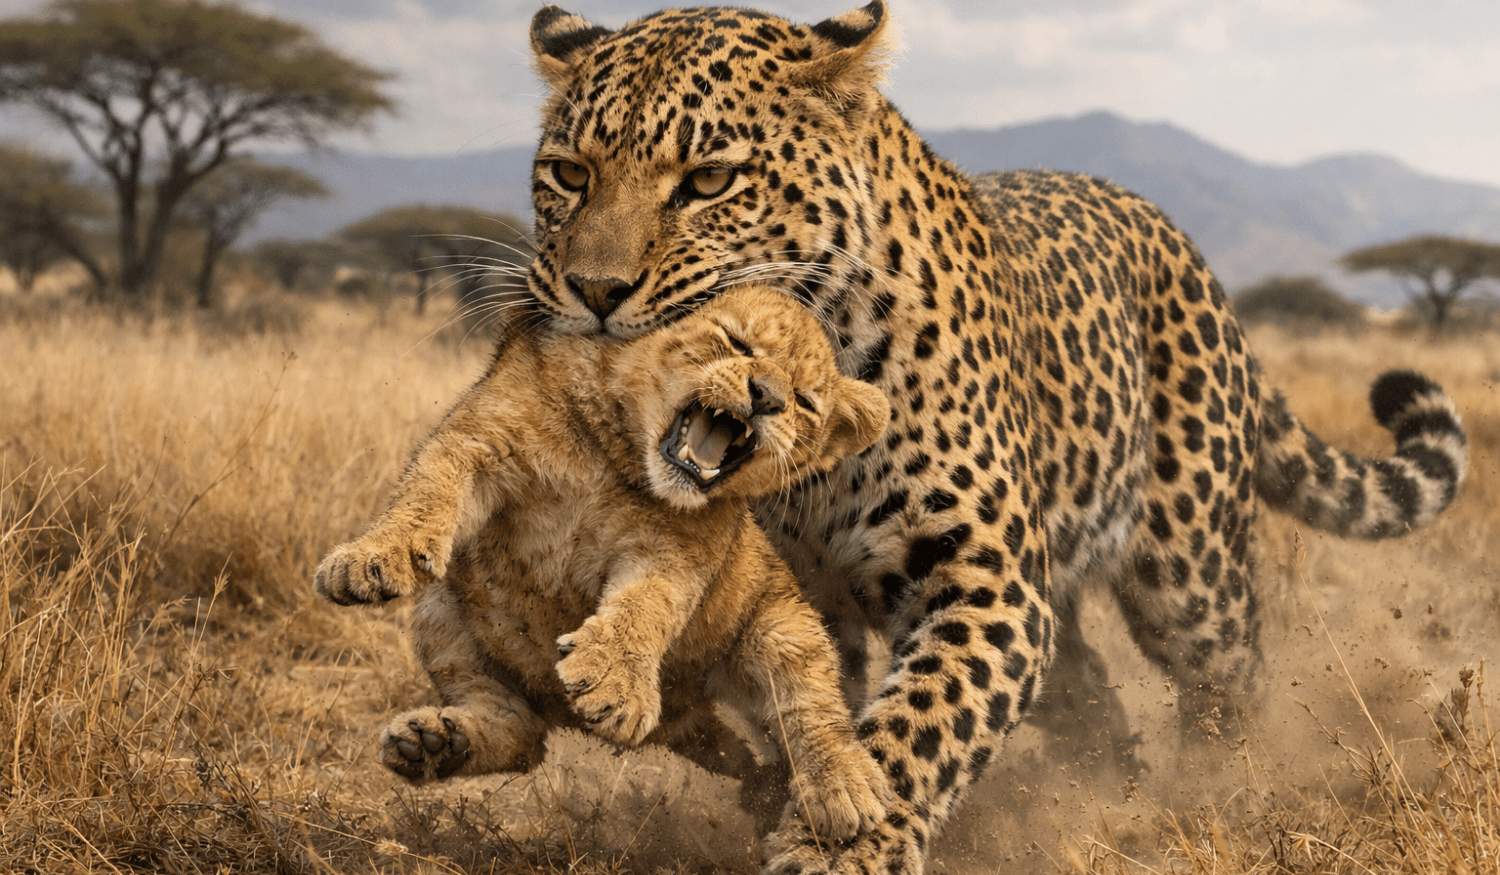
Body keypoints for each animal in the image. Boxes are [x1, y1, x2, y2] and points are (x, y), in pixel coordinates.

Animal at [315, 285, 893, 841]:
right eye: (736, 342)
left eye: (804, 401)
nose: (767, 397)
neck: (617, 452)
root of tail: (688, 716)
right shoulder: (479, 440)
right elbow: (427, 491)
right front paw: (367, 561)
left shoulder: (678, 550)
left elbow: (647, 606)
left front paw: (614, 683)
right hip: (442, 612)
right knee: (521, 734)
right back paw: (435, 744)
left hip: (780, 625)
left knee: (813, 714)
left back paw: (845, 791)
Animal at [513, 2, 1469, 872]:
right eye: (567, 173)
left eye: (710, 179)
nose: (594, 294)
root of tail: (1164, 225)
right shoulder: (774, 589)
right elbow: (810, 711)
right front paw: (798, 799)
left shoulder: (987, 578)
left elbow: (923, 720)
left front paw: (843, 847)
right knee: (1091, 692)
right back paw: (1107, 789)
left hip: (1189, 573)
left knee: (1232, 678)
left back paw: (1218, 792)